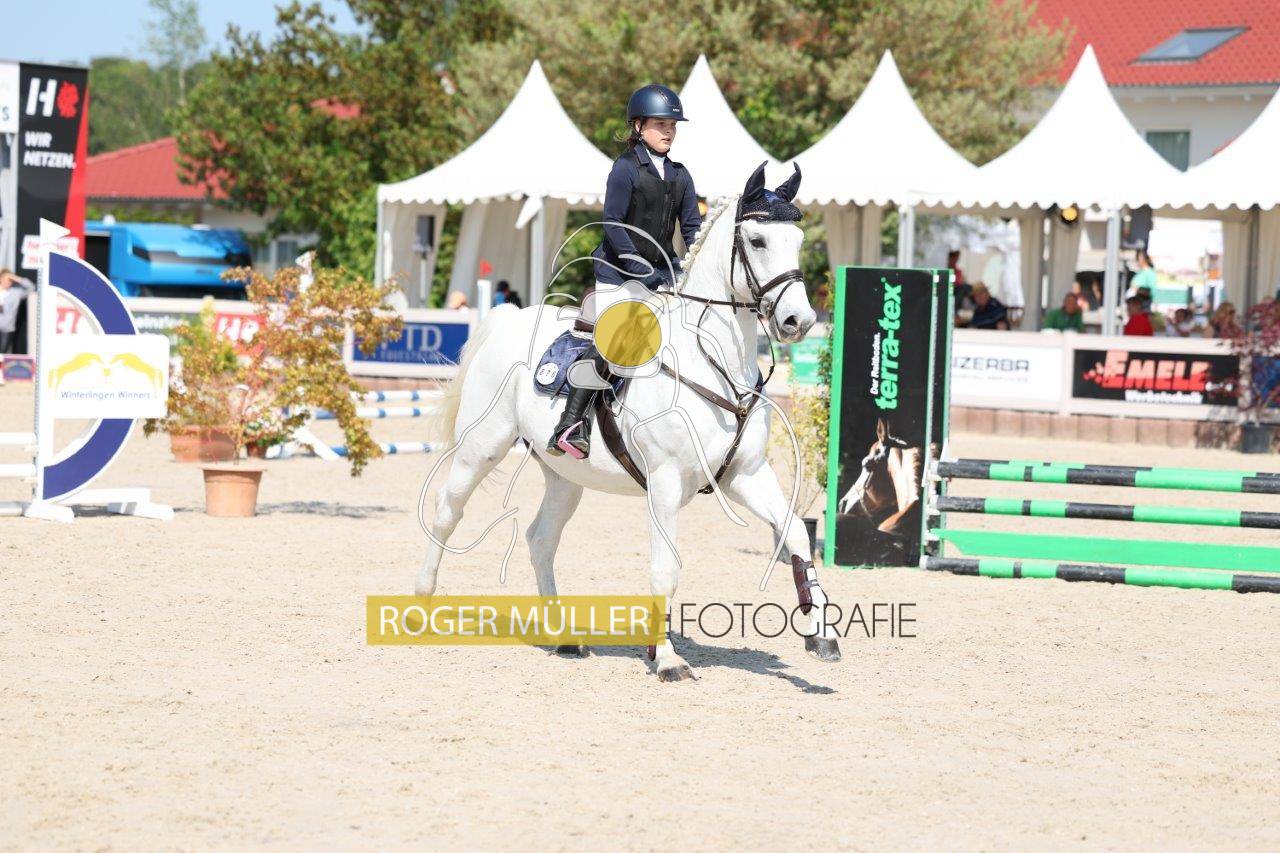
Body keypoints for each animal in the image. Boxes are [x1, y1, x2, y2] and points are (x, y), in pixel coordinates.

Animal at [416, 163, 841, 682]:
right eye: (757, 241)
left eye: (798, 240)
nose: (798, 321)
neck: (713, 362)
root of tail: (509, 319)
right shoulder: (665, 481)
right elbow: (666, 569)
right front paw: (668, 660)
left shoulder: (746, 475)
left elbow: (796, 533)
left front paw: (822, 635)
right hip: (482, 447)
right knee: (447, 511)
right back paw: (422, 605)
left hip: (564, 475)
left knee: (541, 539)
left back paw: (563, 637)